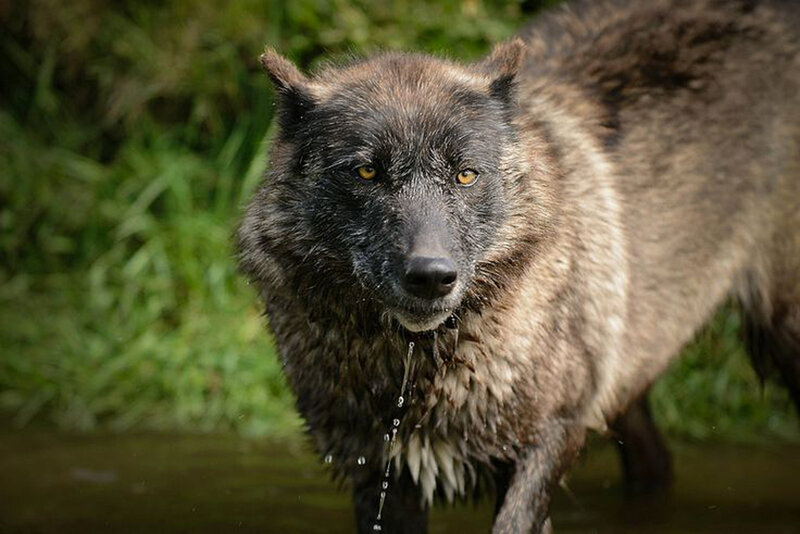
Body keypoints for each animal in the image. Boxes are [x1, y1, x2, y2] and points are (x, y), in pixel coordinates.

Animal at [237, 0, 800, 532]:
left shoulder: (549, 439)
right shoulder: (378, 474)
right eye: (367, 172)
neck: (418, 370)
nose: (431, 277)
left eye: (465, 174)